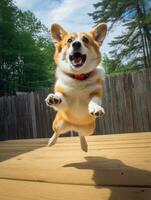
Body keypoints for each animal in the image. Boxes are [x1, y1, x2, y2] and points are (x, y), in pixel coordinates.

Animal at [45, 23, 107, 152]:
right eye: (69, 40)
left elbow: (94, 100)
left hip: (89, 130)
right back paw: (51, 142)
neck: (78, 78)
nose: (76, 44)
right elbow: (60, 96)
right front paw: (54, 98)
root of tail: (73, 126)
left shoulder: (97, 92)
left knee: (81, 134)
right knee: (57, 132)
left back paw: (84, 146)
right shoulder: (65, 101)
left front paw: (96, 108)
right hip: (58, 124)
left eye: (85, 40)